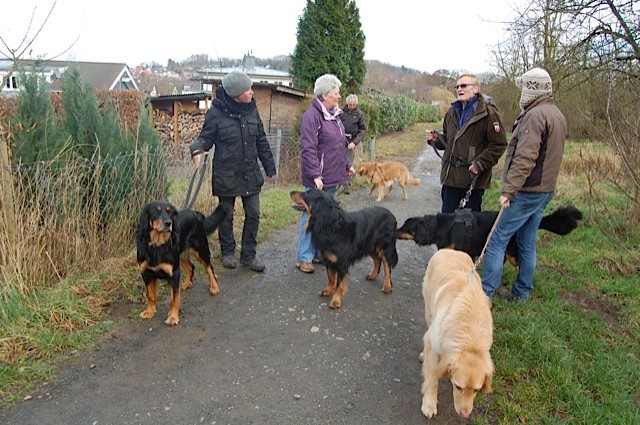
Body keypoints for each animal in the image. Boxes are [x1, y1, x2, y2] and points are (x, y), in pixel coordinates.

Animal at [420, 248, 496, 418]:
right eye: (458, 387)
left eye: (476, 390)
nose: (465, 414)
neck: (469, 338)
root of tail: (451, 250)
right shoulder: (433, 343)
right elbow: (432, 379)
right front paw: (429, 404)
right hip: (428, 310)